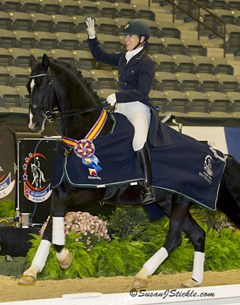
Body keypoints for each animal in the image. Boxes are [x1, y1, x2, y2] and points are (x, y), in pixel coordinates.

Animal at [19, 53, 240, 288]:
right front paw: (32, 271)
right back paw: (193, 281)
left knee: (175, 238)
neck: (89, 134)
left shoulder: (90, 191)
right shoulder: (65, 189)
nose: (34, 124)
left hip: (180, 201)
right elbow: (52, 221)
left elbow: (58, 215)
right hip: (168, 202)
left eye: (45, 84)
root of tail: (218, 155)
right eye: (28, 86)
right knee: (198, 235)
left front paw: (64, 258)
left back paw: (142, 275)